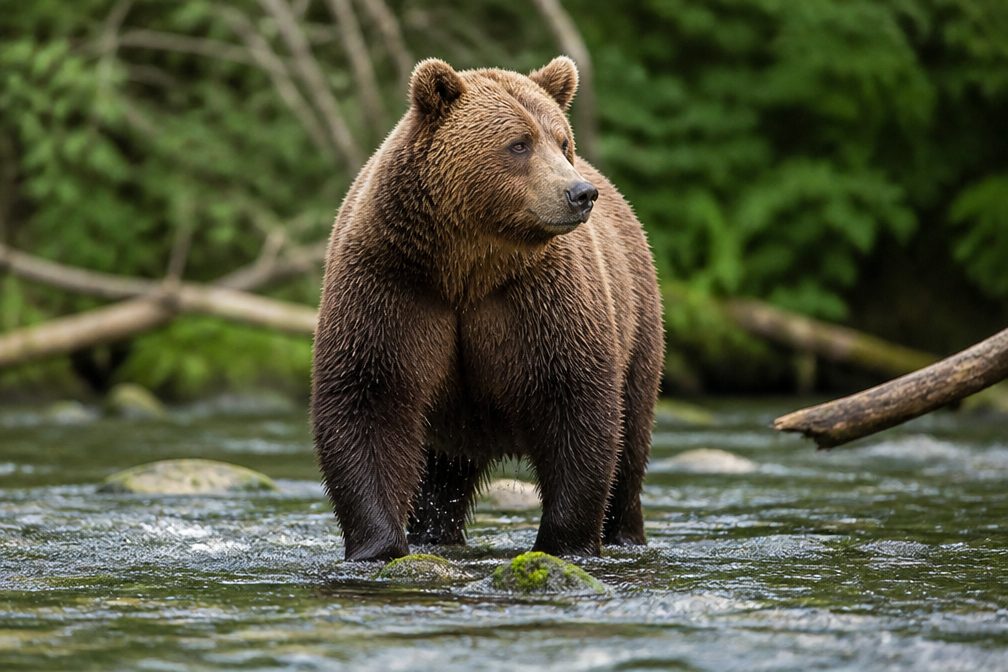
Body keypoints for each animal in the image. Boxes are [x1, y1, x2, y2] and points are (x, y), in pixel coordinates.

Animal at [311, 56, 663, 562]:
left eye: (562, 141)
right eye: (519, 143)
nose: (580, 193)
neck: (467, 265)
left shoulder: (539, 299)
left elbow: (576, 403)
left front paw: (564, 543)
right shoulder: (392, 284)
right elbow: (368, 398)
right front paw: (378, 545)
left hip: (638, 325)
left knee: (630, 444)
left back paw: (625, 533)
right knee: (439, 480)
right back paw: (434, 533)